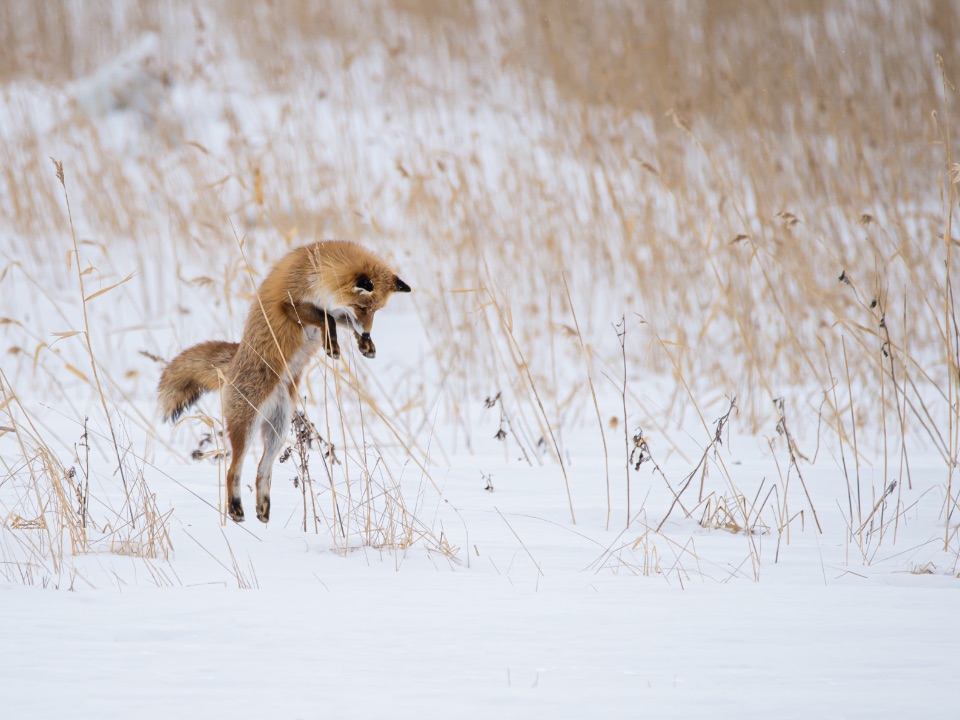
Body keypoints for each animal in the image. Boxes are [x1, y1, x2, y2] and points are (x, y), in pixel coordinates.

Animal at [158, 242, 412, 524]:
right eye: (363, 307)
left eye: (376, 310)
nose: (368, 332)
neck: (317, 272)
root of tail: (232, 362)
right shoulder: (290, 303)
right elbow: (327, 319)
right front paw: (333, 345)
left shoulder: (336, 309)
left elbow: (339, 321)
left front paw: (365, 344)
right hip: (246, 426)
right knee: (233, 469)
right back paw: (235, 509)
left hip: (278, 430)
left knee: (262, 470)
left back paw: (263, 511)